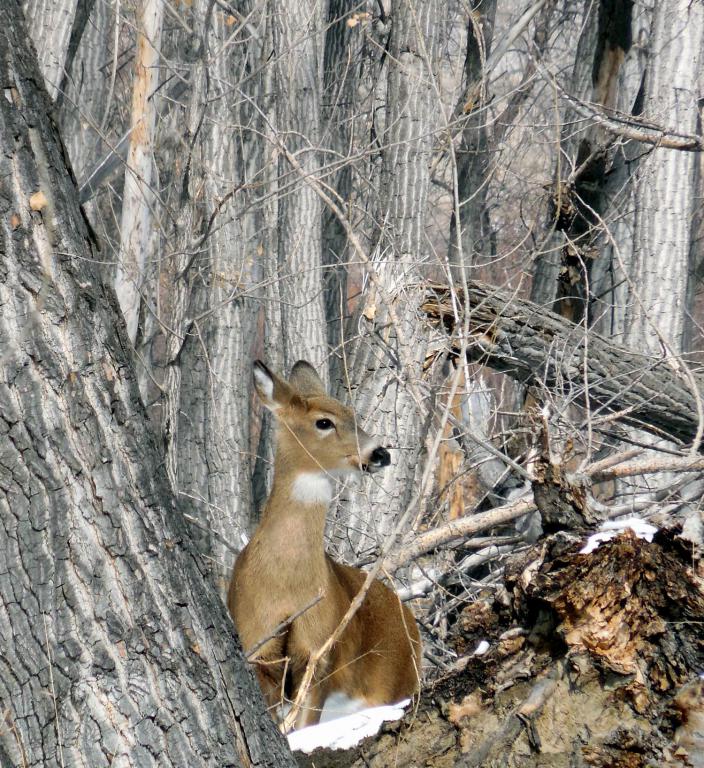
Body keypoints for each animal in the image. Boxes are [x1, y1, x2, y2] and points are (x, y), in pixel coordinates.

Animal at [228, 362, 420, 732]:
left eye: (354, 415)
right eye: (324, 422)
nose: (380, 453)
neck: (285, 586)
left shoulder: (322, 653)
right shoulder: (257, 646)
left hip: (395, 683)